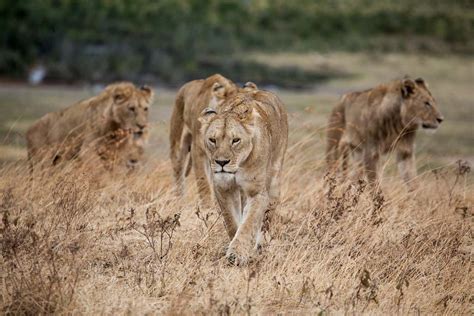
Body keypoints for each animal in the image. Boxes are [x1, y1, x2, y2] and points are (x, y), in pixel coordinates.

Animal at [26, 81, 154, 170]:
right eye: (131, 108)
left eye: (145, 109)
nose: (142, 126)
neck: (115, 129)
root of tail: (29, 128)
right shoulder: (87, 151)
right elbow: (99, 172)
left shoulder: (116, 154)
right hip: (41, 160)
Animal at [168, 73, 258, 207]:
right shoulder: (198, 151)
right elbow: (203, 182)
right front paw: (207, 208)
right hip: (178, 139)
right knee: (178, 170)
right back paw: (178, 200)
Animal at [198, 90, 286, 266]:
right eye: (212, 140)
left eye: (235, 140)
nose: (222, 162)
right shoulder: (223, 189)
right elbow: (232, 222)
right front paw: (235, 246)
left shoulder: (257, 193)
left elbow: (248, 223)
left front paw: (237, 254)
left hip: (274, 180)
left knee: (266, 219)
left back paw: (261, 246)